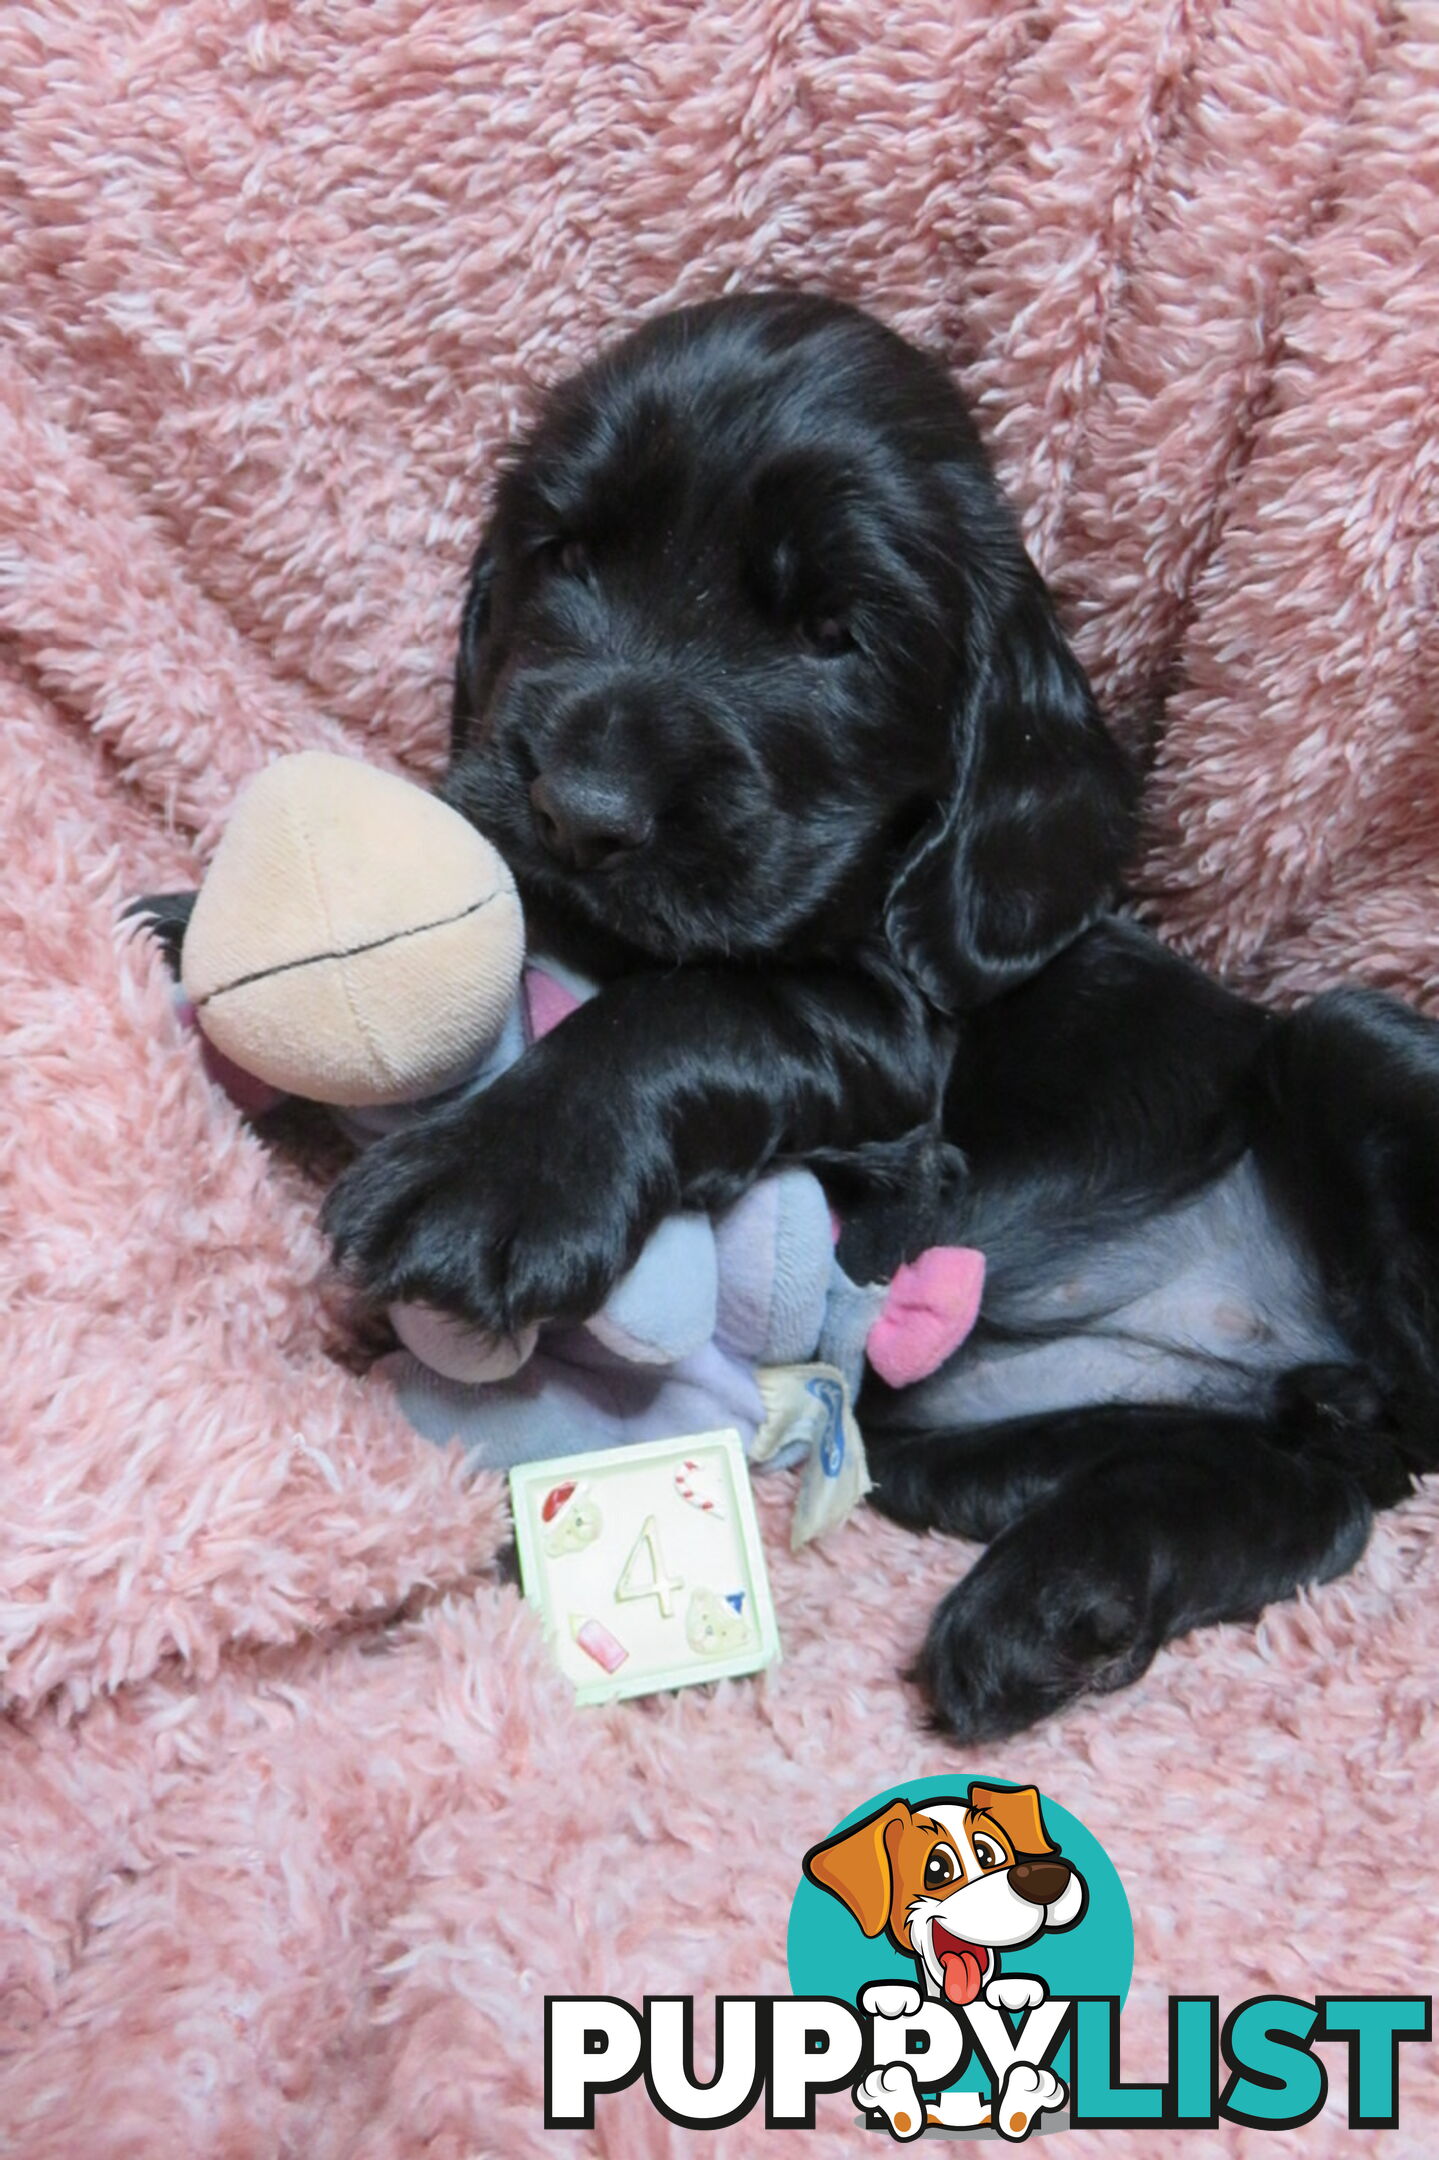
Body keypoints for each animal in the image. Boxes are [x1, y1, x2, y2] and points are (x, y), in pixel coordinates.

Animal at [324, 291, 1434, 1736]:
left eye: (828, 636)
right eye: (561, 557)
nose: (578, 811)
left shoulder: (893, 1044)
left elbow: (688, 1007)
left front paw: (494, 1179)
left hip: (1350, 1040)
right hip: (966, 1442)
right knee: (1318, 1499)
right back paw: (1058, 1607)